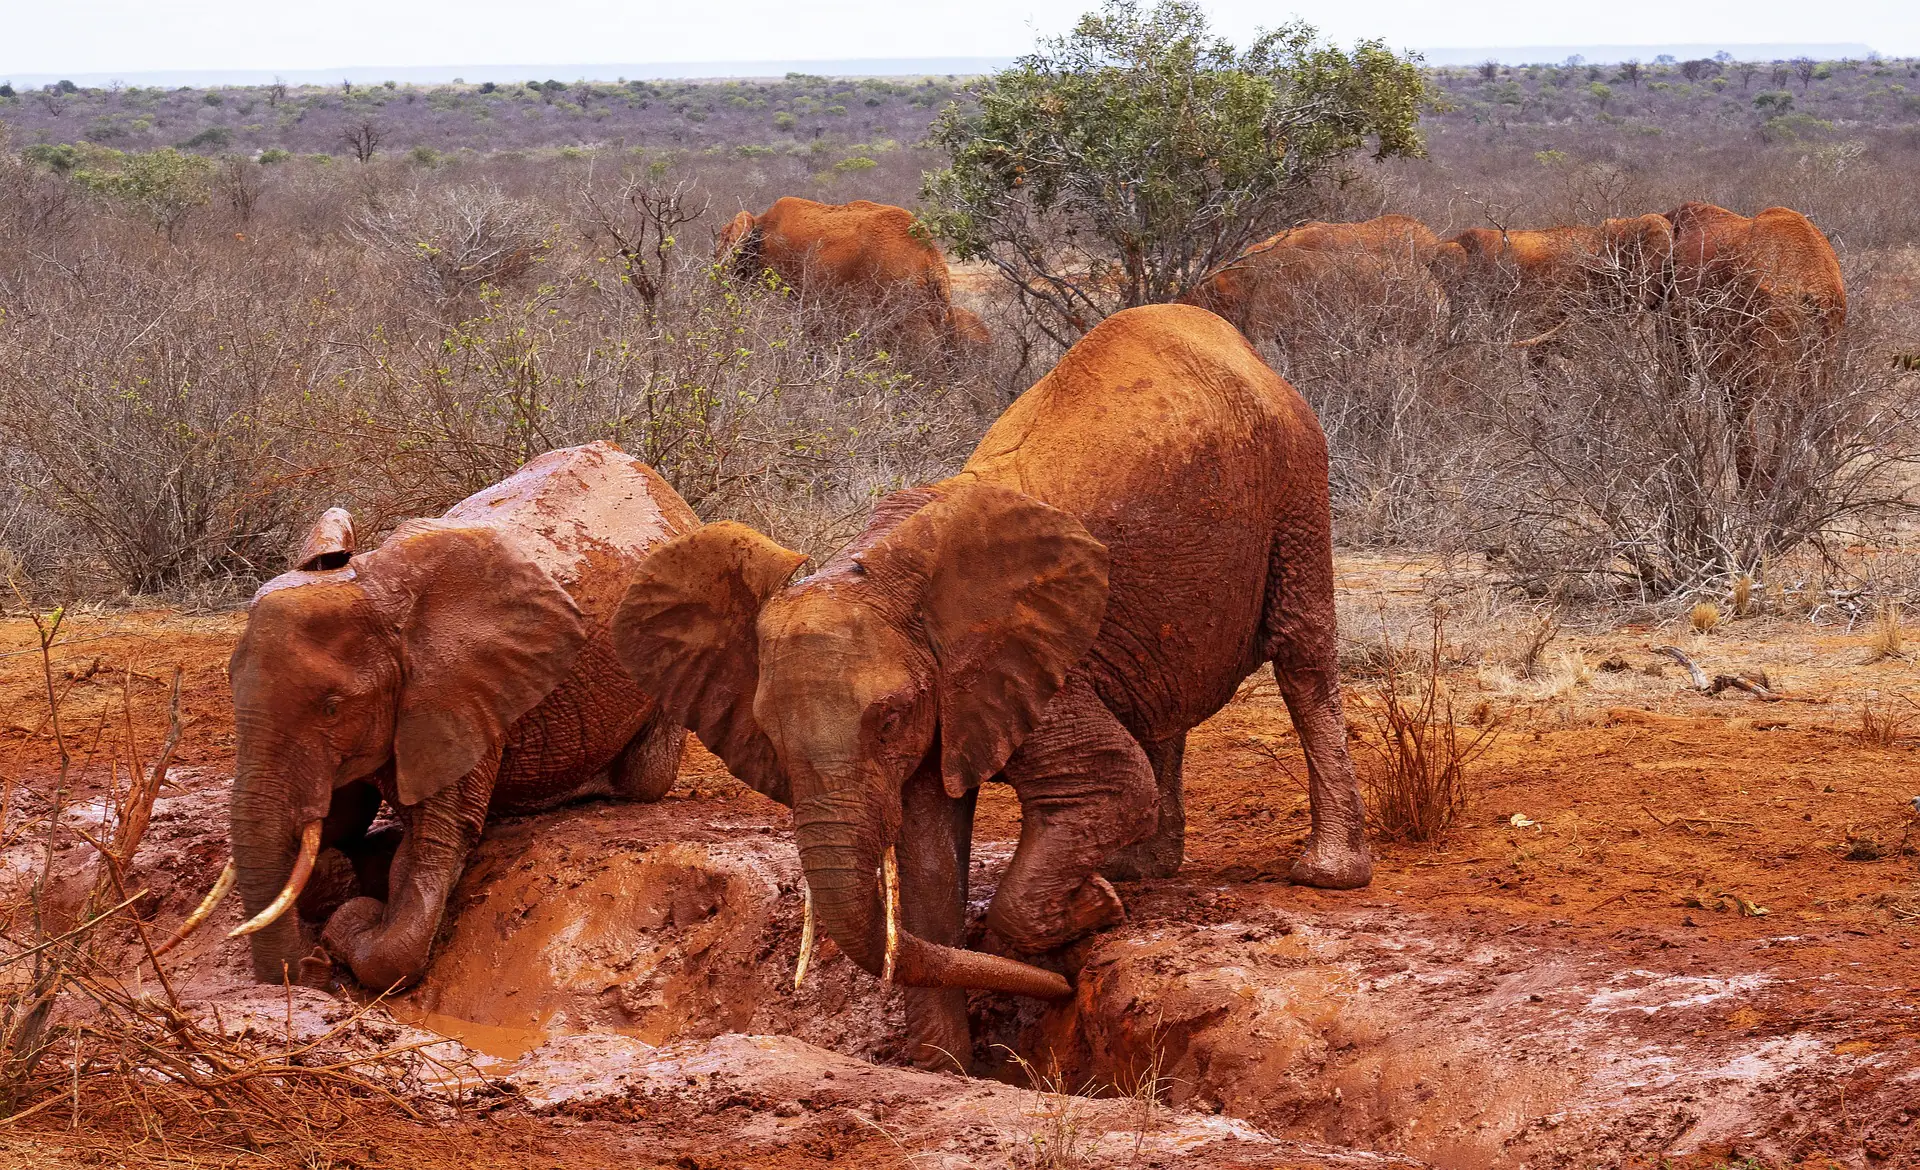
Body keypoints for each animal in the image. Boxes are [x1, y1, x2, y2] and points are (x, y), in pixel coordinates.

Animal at [606, 301, 1374, 1068]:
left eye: (889, 720)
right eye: (768, 732)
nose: (1062, 995)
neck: (883, 572)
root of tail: (1231, 340)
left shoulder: (1019, 675)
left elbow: (1111, 787)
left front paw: (1093, 909)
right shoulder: (956, 698)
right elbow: (927, 865)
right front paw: (948, 1066)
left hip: (1299, 483)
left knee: (1303, 655)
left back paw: (1323, 873)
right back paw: (1140, 870)